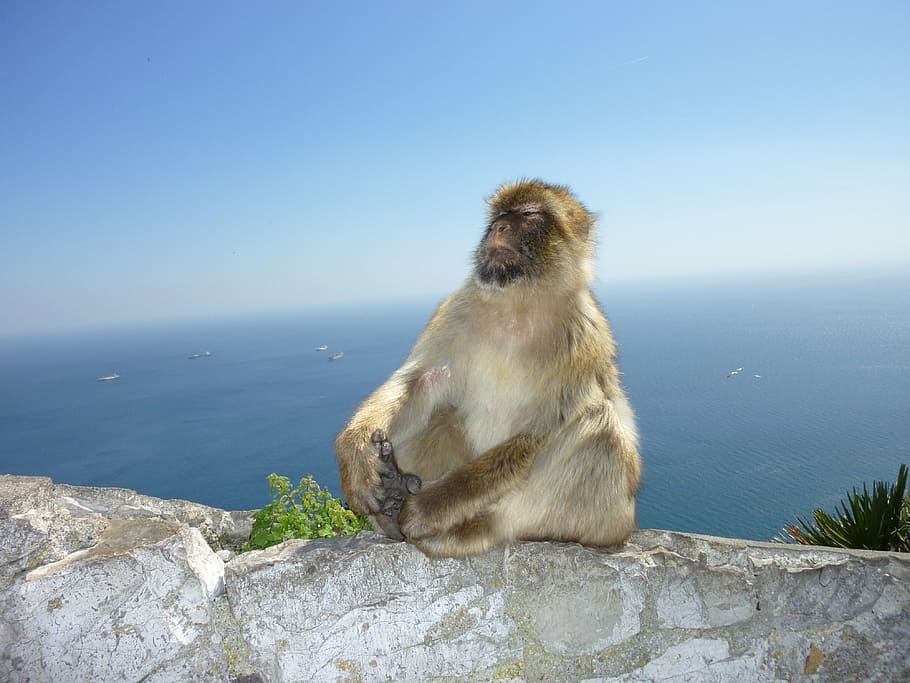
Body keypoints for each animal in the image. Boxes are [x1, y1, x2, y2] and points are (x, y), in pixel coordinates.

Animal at [335, 179, 641, 558]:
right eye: (498, 215)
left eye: (529, 214)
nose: (499, 228)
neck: (518, 307)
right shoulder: (458, 307)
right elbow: (421, 380)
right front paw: (355, 453)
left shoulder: (583, 336)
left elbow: (539, 433)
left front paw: (427, 509)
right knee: (441, 415)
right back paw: (392, 498)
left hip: (605, 521)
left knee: (599, 429)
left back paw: (474, 529)